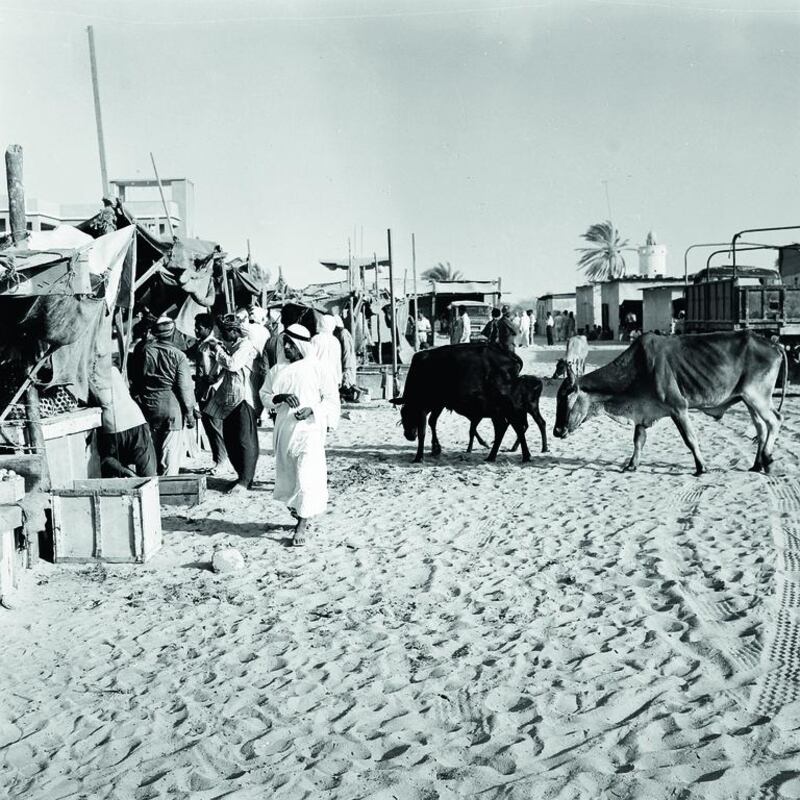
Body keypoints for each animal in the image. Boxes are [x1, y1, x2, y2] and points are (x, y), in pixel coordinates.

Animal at [390, 342, 536, 462]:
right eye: (402, 414)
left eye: (407, 414)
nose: (408, 435)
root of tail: (509, 355)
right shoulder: (439, 403)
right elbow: (432, 422)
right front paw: (436, 448)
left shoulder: (423, 408)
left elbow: (423, 431)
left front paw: (419, 457)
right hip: (499, 407)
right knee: (506, 426)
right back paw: (498, 455)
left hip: (504, 404)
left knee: (515, 425)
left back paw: (523, 455)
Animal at [552, 332, 784, 476]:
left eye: (566, 398)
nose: (556, 431)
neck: (639, 367)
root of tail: (774, 344)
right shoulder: (642, 414)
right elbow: (638, 441)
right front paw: (631, 465)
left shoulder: (678, 408)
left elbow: (690, 439)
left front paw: (701, 467)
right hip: (749, 401)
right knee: (761, 428)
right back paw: (757, 465)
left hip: (757, 397)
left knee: (774, 421)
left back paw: (768, 459)